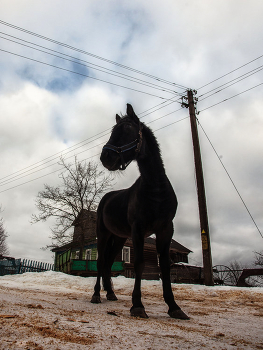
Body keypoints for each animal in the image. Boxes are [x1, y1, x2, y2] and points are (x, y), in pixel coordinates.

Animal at [91, 104, 190, 320]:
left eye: (128, 129)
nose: (106, 157)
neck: (156, 188)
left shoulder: (165, 229)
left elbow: (164, 266)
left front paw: (174, 306)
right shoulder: (138, 229)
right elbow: (139, 264)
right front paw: (137, 305)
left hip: (119, 238)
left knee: (108, 263)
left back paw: (110, 293)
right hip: (103, 234)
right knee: (101, 261)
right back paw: (96, 295)